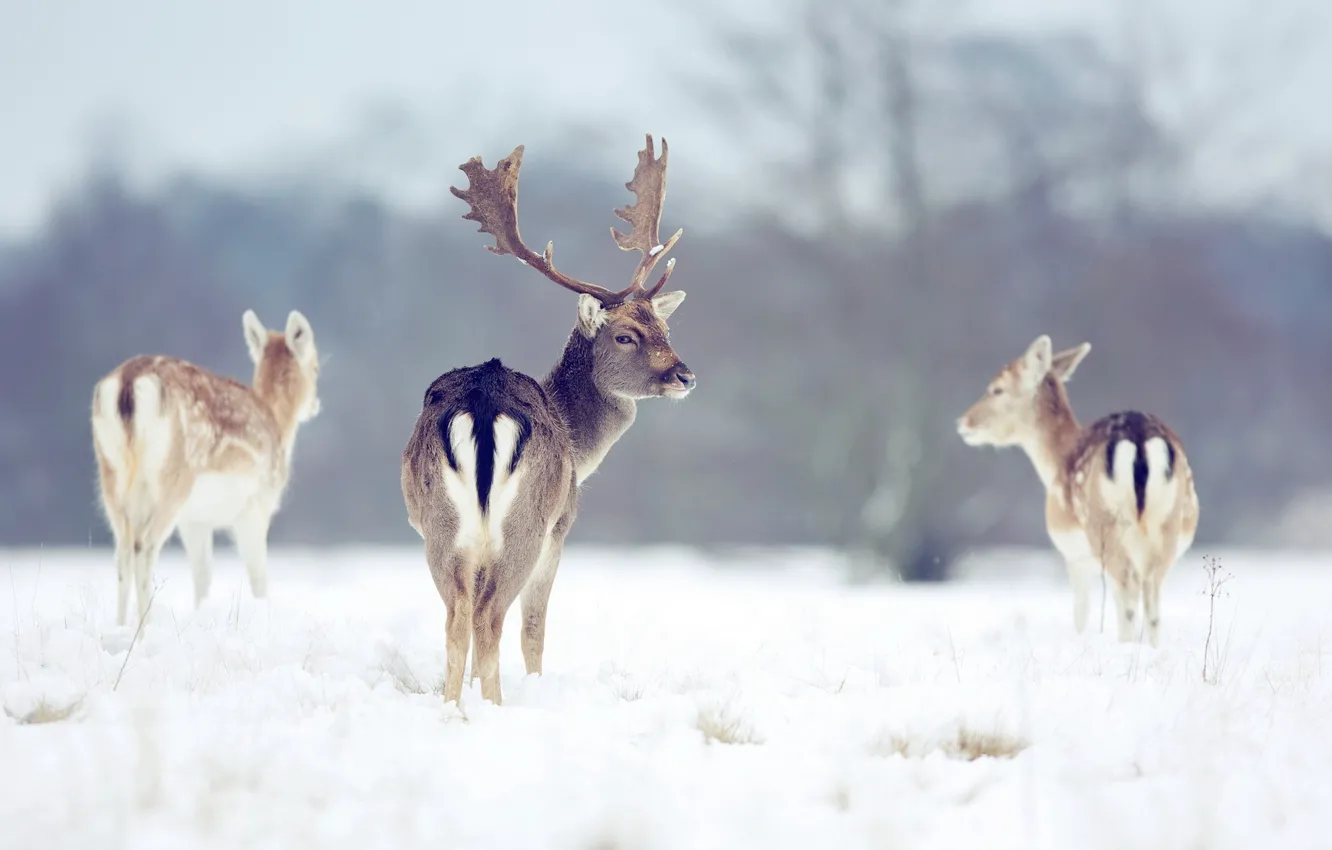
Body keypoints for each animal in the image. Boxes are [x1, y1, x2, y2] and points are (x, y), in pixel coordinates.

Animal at [91, 311, 322, 626]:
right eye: (317, 366)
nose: (316, 404)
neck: (278, 425)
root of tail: (128, 383)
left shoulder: (195, 520)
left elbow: (202, 577)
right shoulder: (256, 504)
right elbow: (258, 578)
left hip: (111, 476)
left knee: (122, 552)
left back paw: (120, 626)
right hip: (172, 480)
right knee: (144, 547)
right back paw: (144, 627)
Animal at [396, 136, 697, 703]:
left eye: (664, 327)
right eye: (625, 335)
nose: (685, 375)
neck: (579, 443)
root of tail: (484, 402)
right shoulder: (561, 528)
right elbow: (534, 631)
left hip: (440, 528)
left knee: (458, 619)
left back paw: (454, 709)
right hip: (526, 526)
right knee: (490, 617)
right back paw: (495, 706)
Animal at [953, 335, 1204, 650]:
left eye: (997, 388)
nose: (963, 422)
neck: (1055, 463)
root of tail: (1139, 440)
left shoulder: (1074, 555)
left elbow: (1081, 615)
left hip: (1103, 527)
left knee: (1129, 588)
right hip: (1168, 523)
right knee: (1151, 595)